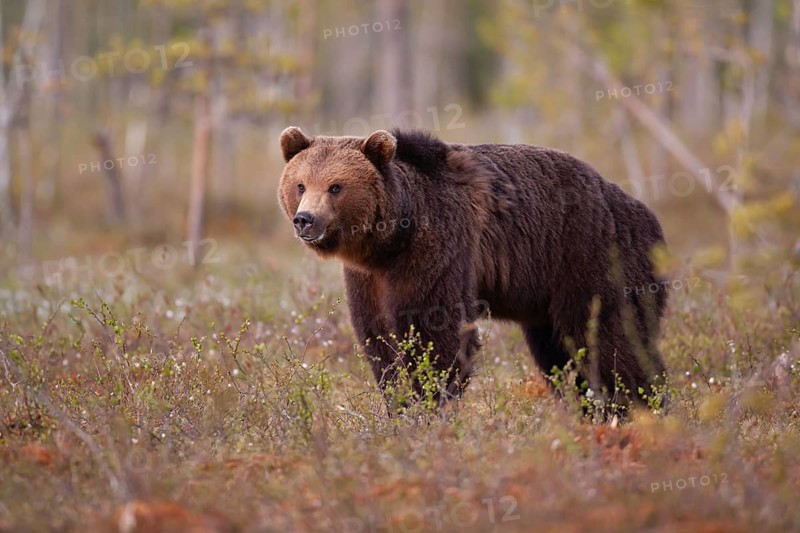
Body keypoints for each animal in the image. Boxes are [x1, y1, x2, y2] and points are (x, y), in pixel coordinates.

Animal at [278, 126, 668, 414]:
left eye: (336, 186)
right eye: (300, 184)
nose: (305, 220)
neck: (391, 240)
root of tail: (647, 217)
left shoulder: (437, 247)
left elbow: (435, 329)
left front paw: (431, 402)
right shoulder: (369, 277)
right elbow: (378, 335)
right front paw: (399, 402)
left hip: (591, 257)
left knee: (610, 339)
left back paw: (640, 406)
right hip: (547, 295)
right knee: (559, 351)